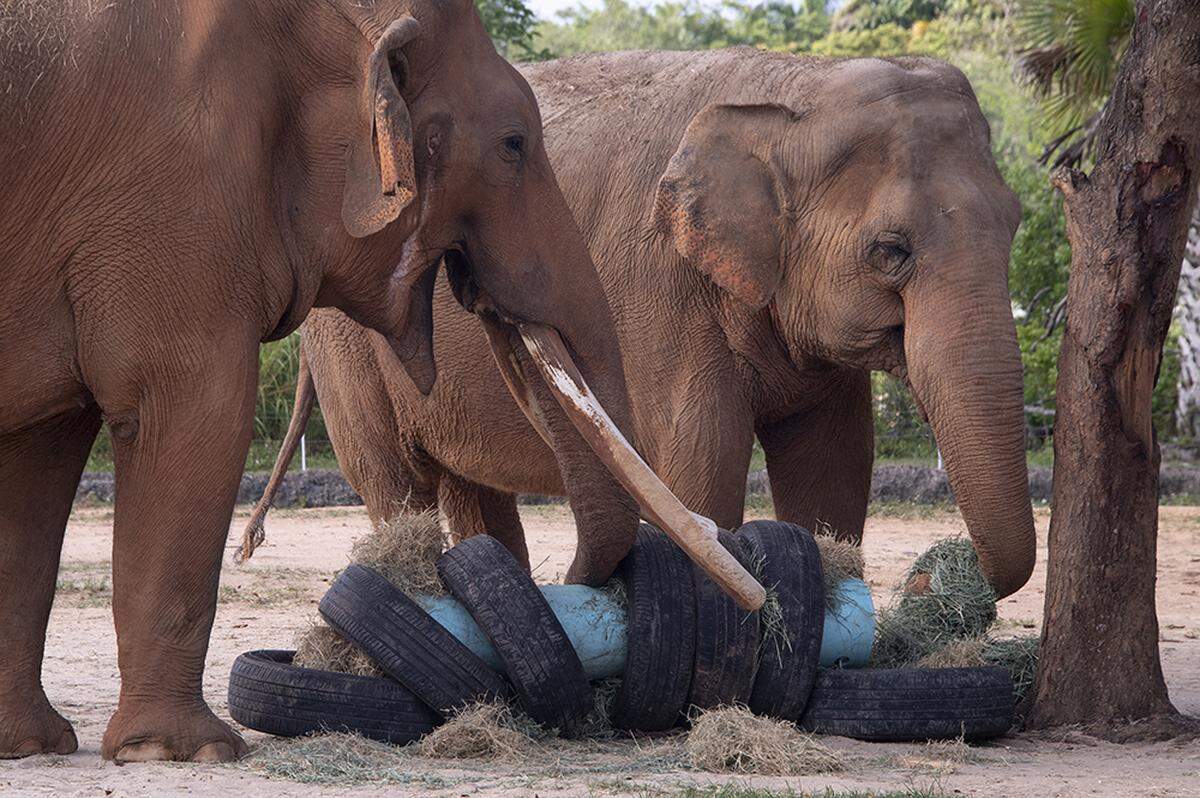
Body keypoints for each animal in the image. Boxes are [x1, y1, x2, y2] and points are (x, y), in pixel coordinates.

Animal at [0, 0, 651, 763]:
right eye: (514, 144)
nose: (577, 590)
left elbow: (37, 457)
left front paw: (29, 744)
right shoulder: (169, 196)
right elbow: (194, 411)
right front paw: (186, 752)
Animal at [254, 49, 1037, 600]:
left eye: (1016, 227)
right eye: (890, 252)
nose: (927, 576)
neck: (796, 88)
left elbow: (835, 474)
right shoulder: (660, 296)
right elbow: (701, 472)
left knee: (472, 492)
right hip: (344, 343)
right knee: (395, 486)